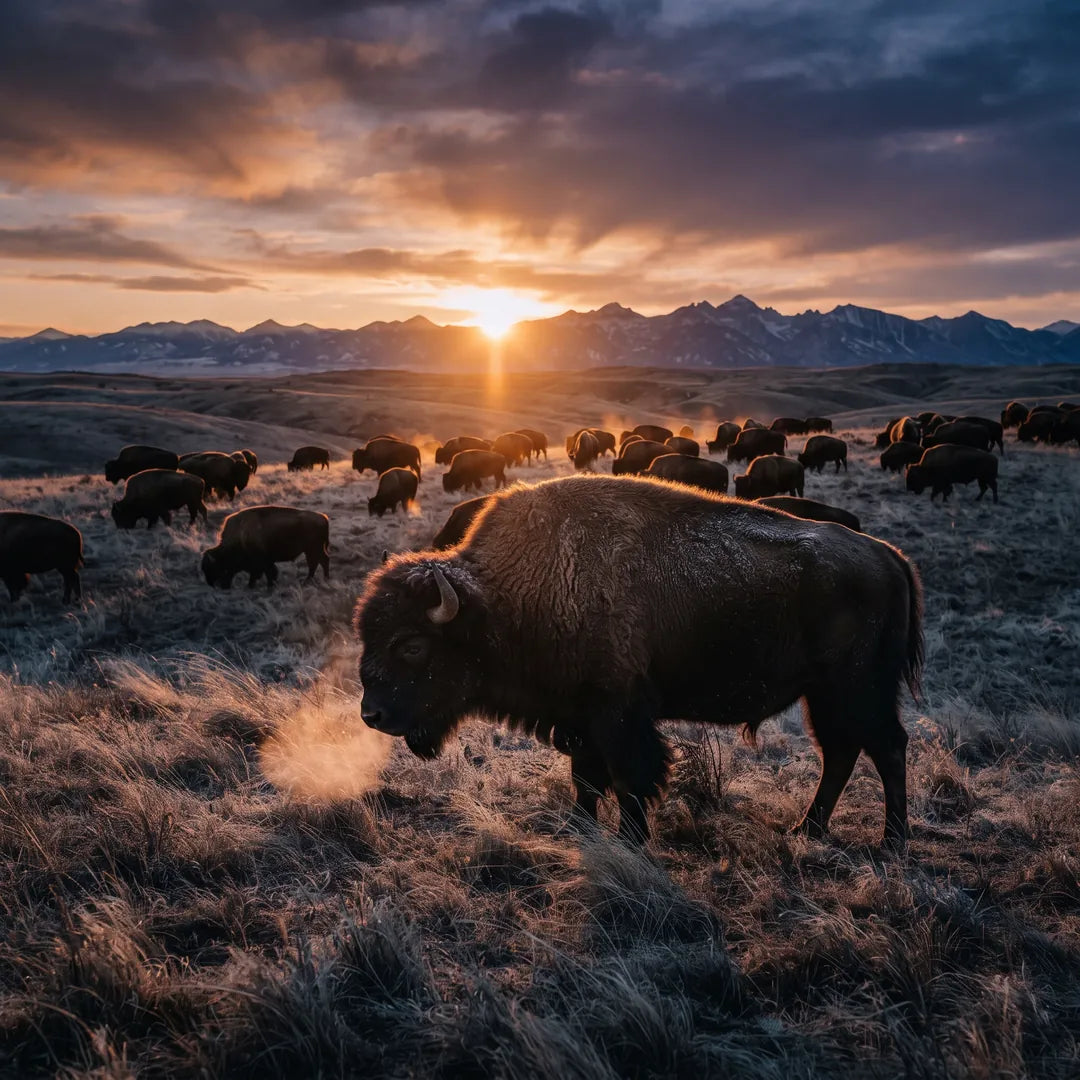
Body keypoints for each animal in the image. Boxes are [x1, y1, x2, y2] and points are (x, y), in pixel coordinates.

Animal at [354, 475, 923, 848]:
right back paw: (808, 829)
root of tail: (889, 556)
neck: (503, 600)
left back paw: (891, 841)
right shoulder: (578, 717)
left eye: (411, 644)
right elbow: (585, 778)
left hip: (857, 688)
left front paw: (631, 840)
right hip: (823, 695)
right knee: (841, 752)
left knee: (886, 746)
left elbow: (631, 778)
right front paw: (580, 828)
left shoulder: (618, 714)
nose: (371, 715)